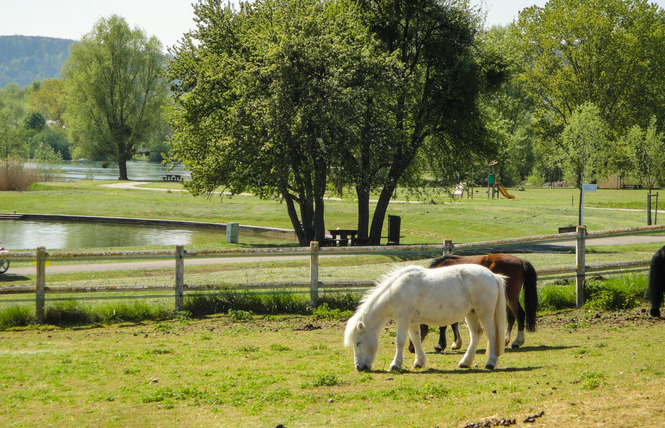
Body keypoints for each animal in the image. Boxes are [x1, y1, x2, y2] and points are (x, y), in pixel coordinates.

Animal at [344, 264, 506, 372]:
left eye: (358, 342)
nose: (358, 367)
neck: (396, 291)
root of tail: (493, 276)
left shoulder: (403, 319)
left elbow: (400, 341)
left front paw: (395, 364)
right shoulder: (411, 322)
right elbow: (415, 339)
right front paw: (419, 362)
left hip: (484, 313)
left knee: (491, 334)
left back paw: (490, 363)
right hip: (471, 313)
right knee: (476, 334)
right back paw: (465, 362)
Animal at [408, 254, 536, 352]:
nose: (411, 348)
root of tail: (521, 261)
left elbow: (444, 325)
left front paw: (440, 345)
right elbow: (454, 323)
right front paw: (456, 343)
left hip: (510, 297)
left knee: (519, 314)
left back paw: (517, 341)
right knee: (510, 317)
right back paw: (505, 340)